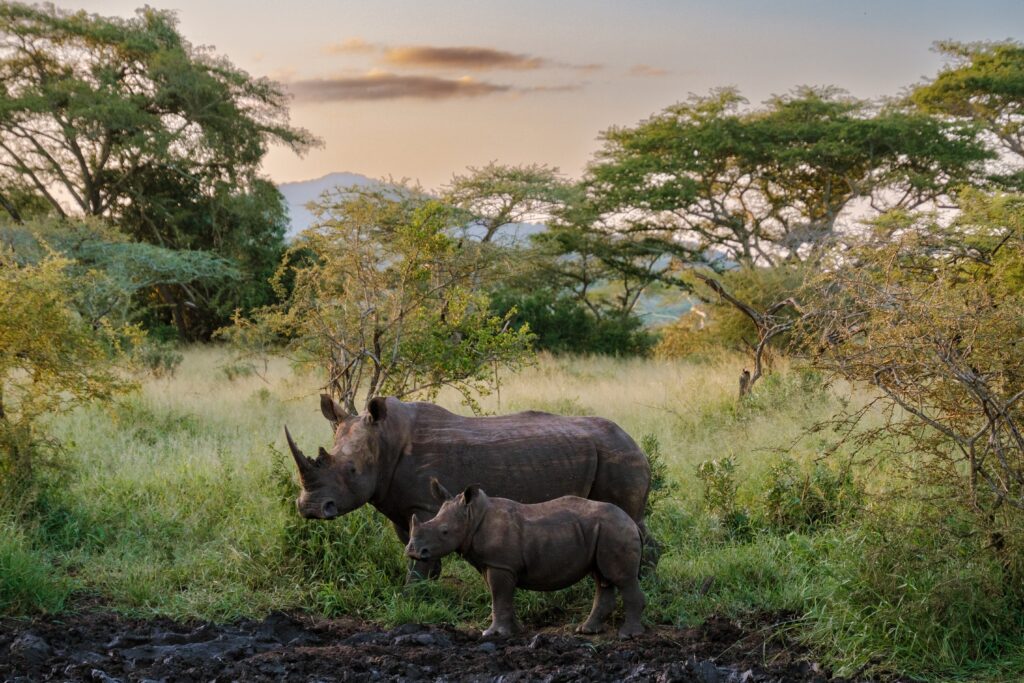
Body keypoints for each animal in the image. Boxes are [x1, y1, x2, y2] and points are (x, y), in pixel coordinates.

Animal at [284, 395, 652, 580]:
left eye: (352, 470)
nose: (311, 509)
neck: (385, 439)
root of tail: (637, 442)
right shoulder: (402, 505)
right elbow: (413, 543)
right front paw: (427, 584)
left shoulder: (425, 504)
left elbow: (420, 552)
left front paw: (414, 591)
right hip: (613, 453)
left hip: (617, 455)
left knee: (627, 517)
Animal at [406, 480, 645, 639]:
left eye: (444, 532)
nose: (413, 551)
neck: (473, 516)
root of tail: (632, 522)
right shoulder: (493, 564)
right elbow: (501, 597)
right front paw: (515, 631)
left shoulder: (500, 564)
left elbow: (499, 596)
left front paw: (493, 634)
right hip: (604, 531)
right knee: (601, 577)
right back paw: (586, 631)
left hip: (615, 530)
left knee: (622, 579)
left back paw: (628, 635)